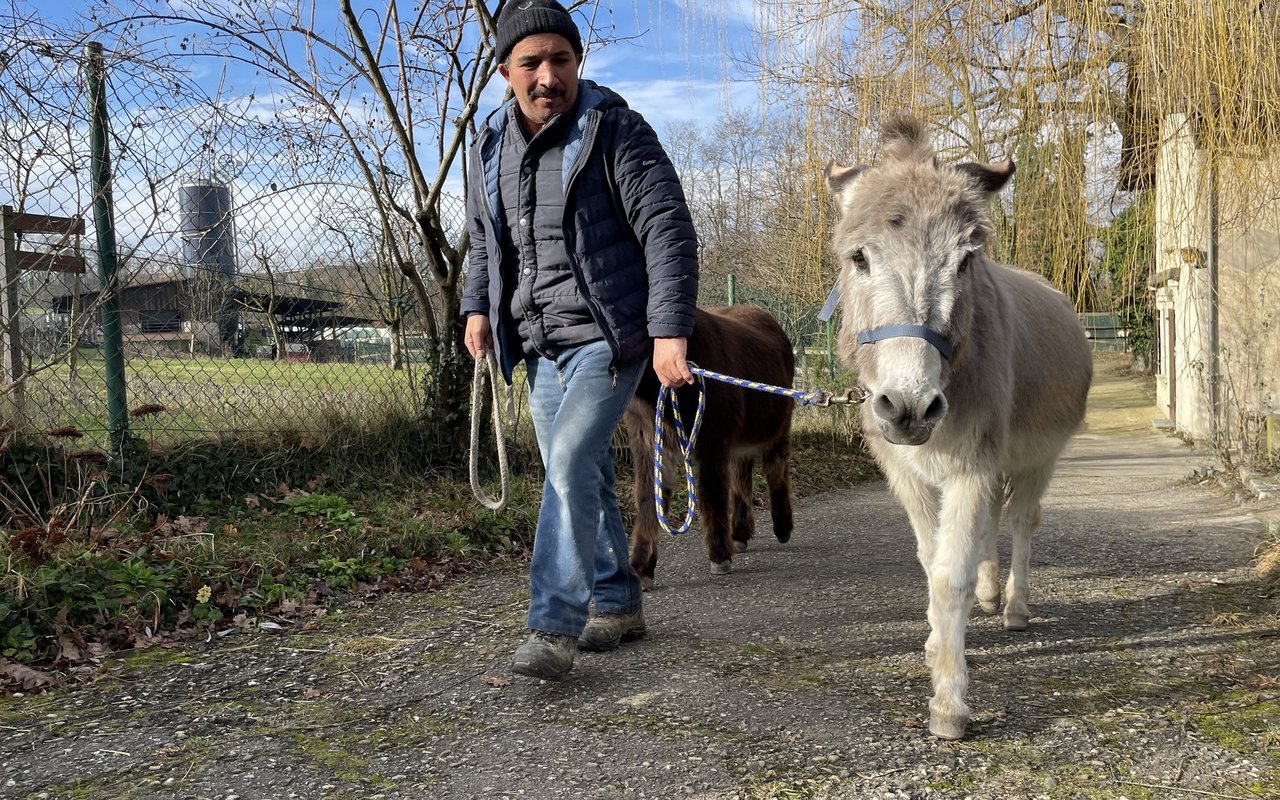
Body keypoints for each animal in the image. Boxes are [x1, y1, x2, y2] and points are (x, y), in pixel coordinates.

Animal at [624, 304, 793, 586]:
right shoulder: (649, 441)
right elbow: (649, 497)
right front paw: (641, 567)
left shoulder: (713, 439)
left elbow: (711, 494)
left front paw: (719, 555)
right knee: (741, 474)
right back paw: (740, 534)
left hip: (777, 424)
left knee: (775, 468)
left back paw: (782, 528)